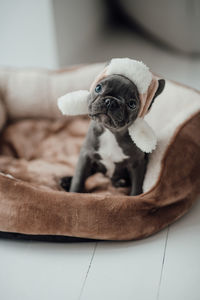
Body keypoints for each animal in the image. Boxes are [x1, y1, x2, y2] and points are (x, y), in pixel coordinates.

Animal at [57, 57, 166, 196]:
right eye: (98, 88)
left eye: (132, 104)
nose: (110, 101)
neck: (110, 132)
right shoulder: (86, 156)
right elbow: (79, 179)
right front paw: (74, 192)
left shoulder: (137, 164)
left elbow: (137, 187)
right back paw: (66, 181)